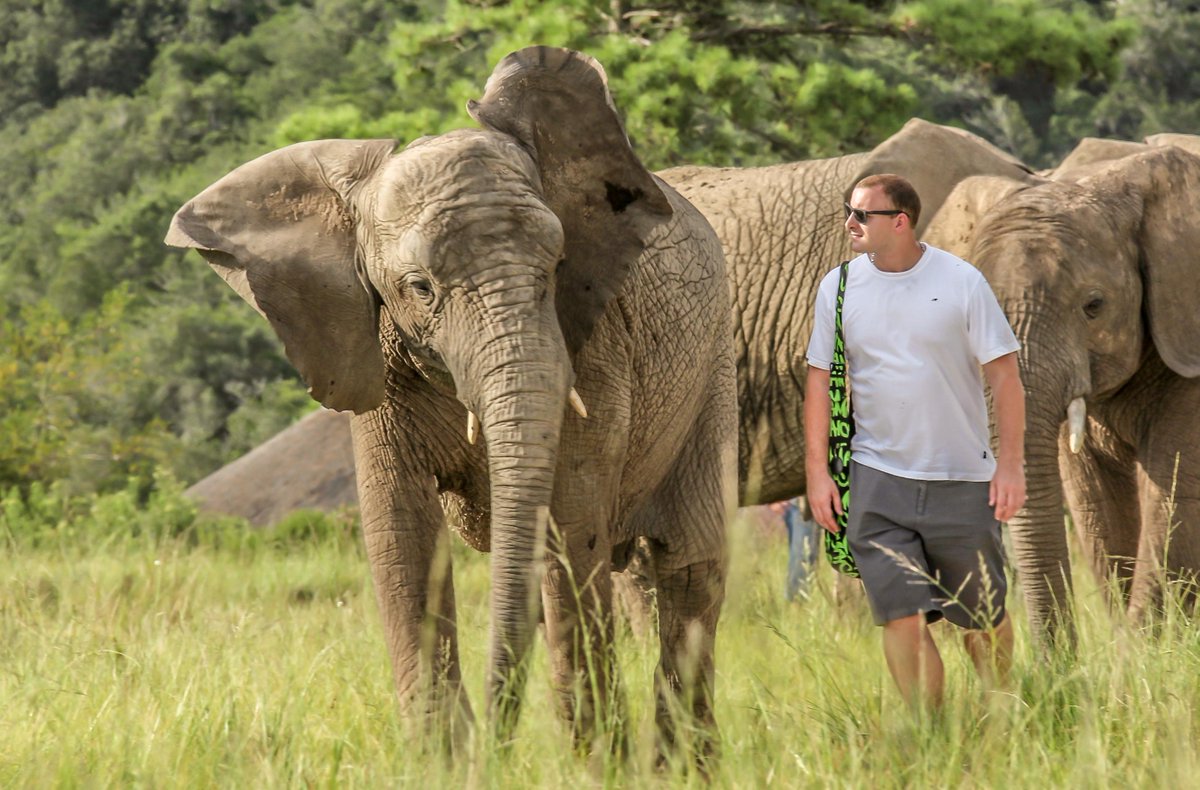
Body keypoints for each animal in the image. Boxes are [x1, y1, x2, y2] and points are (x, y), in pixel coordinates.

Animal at [166, 46, 738, 752]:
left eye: (556, 268)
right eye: (419, 288)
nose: (498, 739)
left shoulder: (598, 349)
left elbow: (570, 530)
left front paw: (592, 760)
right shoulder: (377, 366)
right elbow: (402, 539)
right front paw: (442, 757)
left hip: (713, 369)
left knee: (689, 569)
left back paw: (677, 762)